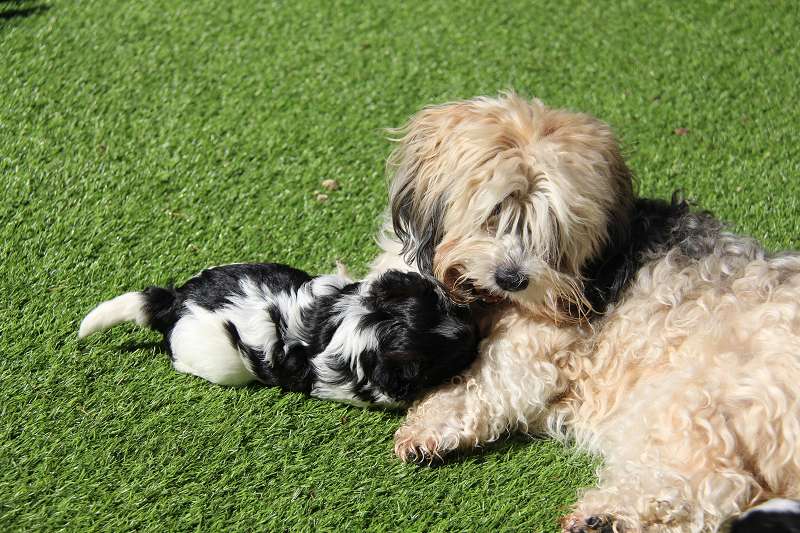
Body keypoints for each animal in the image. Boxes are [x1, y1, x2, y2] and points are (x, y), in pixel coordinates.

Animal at [372, 93, 800, 531]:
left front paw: (428, 424)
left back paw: (605, 514)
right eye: (495, 213)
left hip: (688, 400)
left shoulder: (534, 352)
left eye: (551, 231)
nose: (512, 278)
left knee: (714, 486)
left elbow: (480, 383)